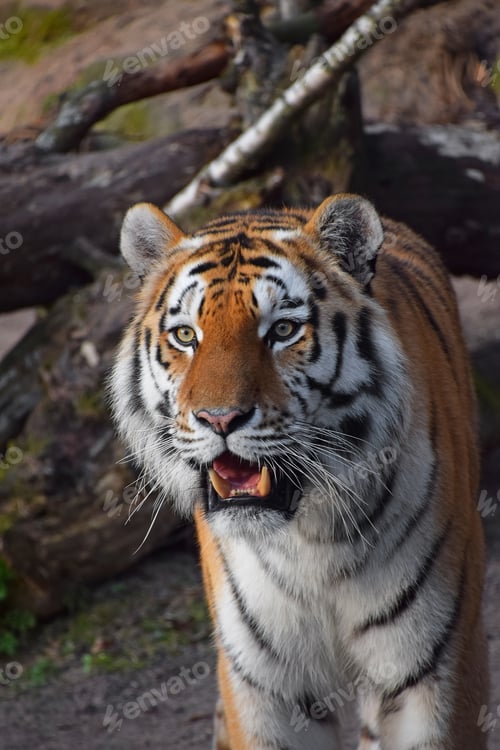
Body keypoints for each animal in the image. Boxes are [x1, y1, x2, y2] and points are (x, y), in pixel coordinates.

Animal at [110, 193, 488, 750]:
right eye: (185, 336)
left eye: (283, 330)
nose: (218, 418)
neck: (310, 539)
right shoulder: (265, 685)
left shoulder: (434, 667)